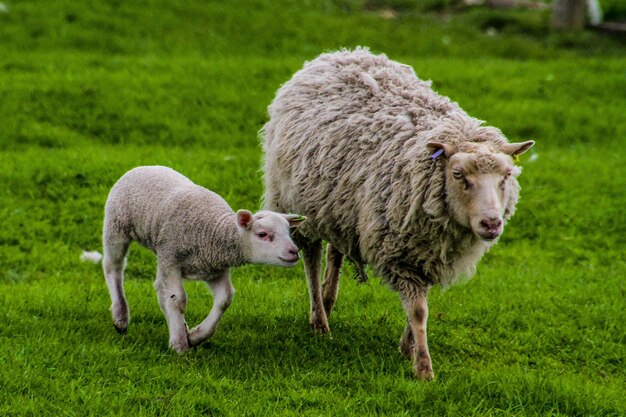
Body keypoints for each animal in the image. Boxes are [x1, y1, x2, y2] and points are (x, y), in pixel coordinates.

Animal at [101, 166, 304, 352]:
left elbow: (225, 298)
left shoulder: (214, 268)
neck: (213, 231)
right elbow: (177, 299)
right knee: (113, 267)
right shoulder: (171, 257)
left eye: (289, 232)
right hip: (116, 227)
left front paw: (195, 336)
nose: (294, 252)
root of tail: (144, 166)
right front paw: (180, 346)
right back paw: (120, 317)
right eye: (263, 234)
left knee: (159, 287)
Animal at [258, 47, 532, 378]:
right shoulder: (400, 252)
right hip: (297, 201)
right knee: (311, 258)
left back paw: (328, 298)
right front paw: (423, 367)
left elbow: (420, 306)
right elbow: (418, 310)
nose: (491, 223)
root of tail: (341, 54)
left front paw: (408, 346)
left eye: (507, 175)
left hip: (338, 204)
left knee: (336, 251)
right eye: (457, 175)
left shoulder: (426, 252)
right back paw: (319, 319)